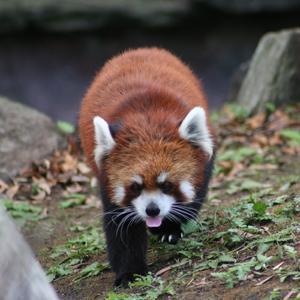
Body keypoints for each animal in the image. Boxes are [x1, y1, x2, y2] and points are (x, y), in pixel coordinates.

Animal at [79, 47, 216, 286]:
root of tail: (140, 50)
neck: (147, 120)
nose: (152, 210)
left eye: (167, 185)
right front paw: (130, 273)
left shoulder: (203, 165)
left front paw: (169, 229)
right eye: (135, 187)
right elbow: (122, 229)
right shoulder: (107, 180)